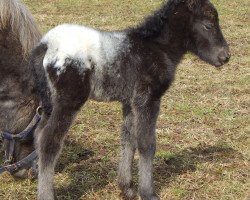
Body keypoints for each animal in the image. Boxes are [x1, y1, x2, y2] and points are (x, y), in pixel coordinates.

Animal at [31, 0, 230, 199]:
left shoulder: (130, 102)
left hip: (49, 102)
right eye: (208, 25)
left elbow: (128, 138)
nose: (225, 56)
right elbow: (146, 143)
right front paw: (148, 192)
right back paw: (46, 194)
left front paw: (126, 188)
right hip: (69, 100)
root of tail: (46, 45)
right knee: (49, 141)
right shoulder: (148, 99)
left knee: (39, 134)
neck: (158, 48)